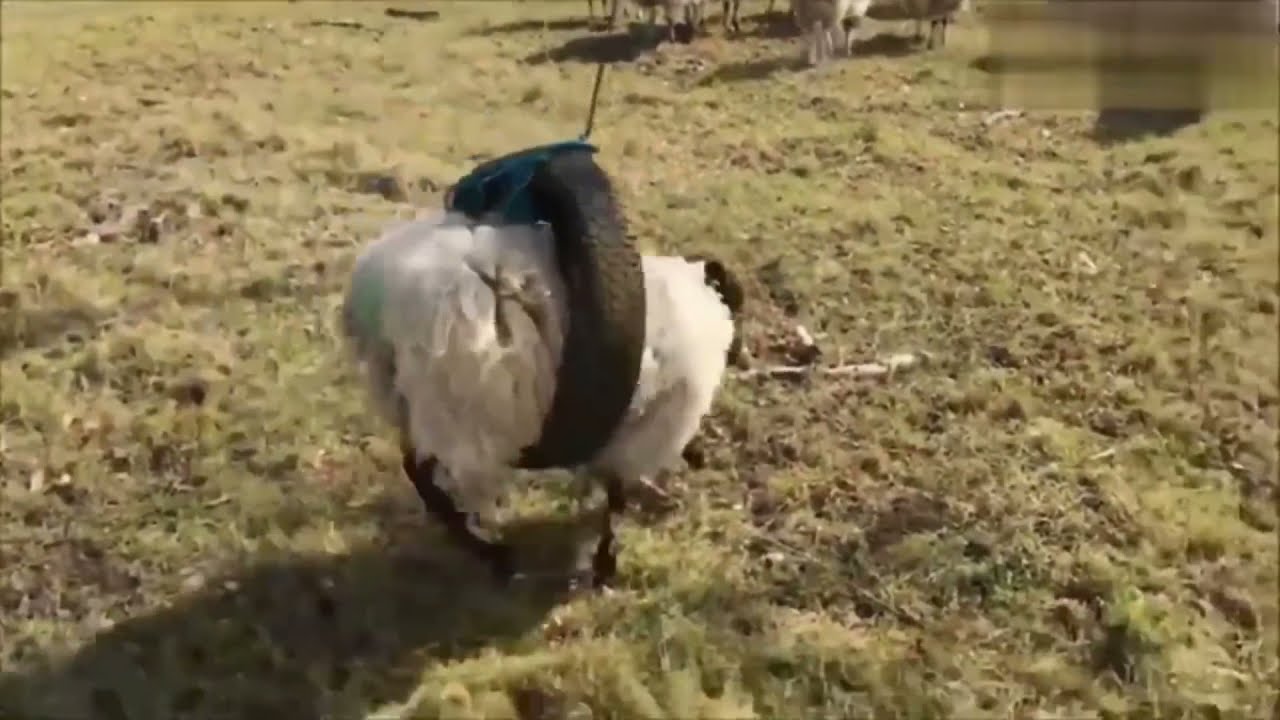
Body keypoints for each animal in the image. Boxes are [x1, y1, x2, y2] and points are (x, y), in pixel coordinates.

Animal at [341, 187, 743, 589]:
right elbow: (616, 498)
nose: (744, 355)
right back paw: (493, 553)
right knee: (426, 473)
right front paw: (605, 562)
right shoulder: (636, 435)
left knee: (415, 469)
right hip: (455, 414)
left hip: (406, 401)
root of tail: (374, 292)